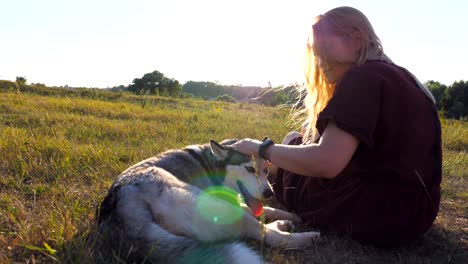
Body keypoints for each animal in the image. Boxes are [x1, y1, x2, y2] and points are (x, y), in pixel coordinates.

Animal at [97, 139, 320, 262]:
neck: (214, 163)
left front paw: (289, 215)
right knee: (268, 235)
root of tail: (118, 199)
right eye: (249, 169)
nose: (268, 193)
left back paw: (284, 223)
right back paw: (304, 237)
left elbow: (265, 209)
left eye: (266, 170)